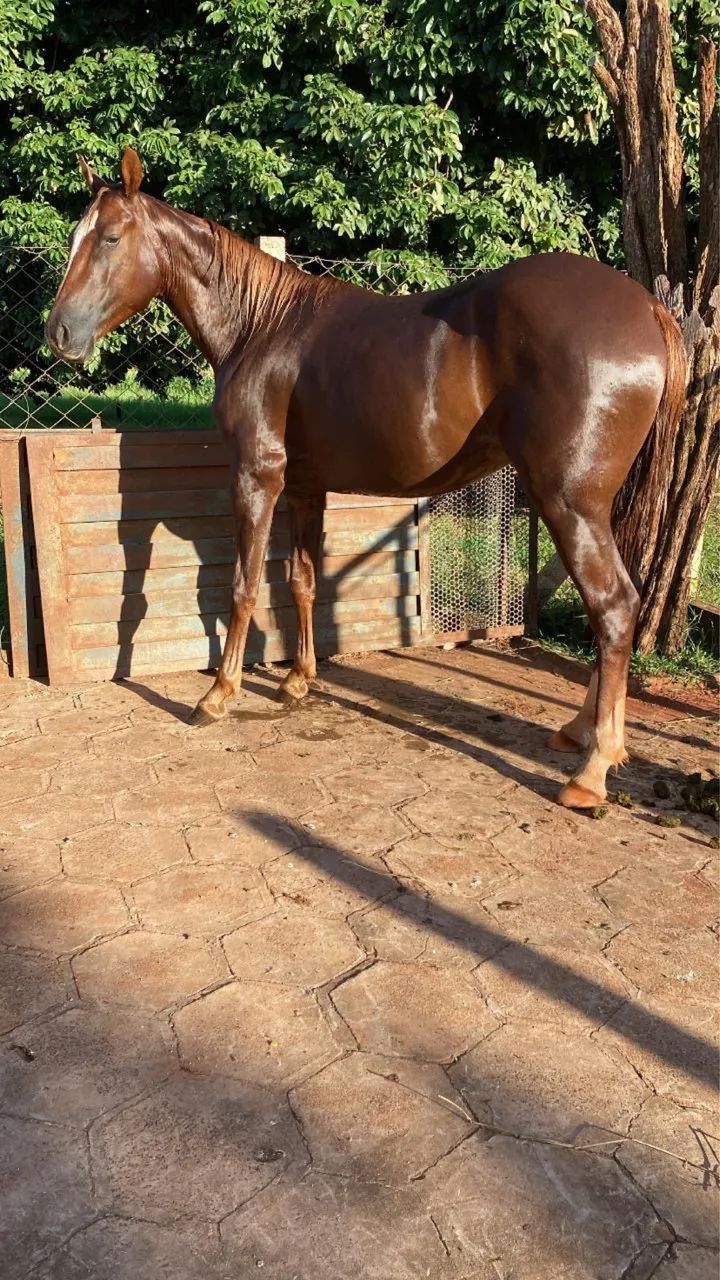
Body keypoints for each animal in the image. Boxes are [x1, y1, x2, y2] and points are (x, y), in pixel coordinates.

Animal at [46, 146, 686, 809]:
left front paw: (218, 695)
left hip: (569, 504)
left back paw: (591, 769)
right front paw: (298, 680)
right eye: (75, 237)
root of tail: (648, 308)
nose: (57, 333)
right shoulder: (304, 488)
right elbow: (301, 581)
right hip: (594, 507)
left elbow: (243, 585)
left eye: (110, 238)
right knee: (619, 604)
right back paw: (582, 733)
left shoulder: (255, 476)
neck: (260, 326)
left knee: (612, 606)